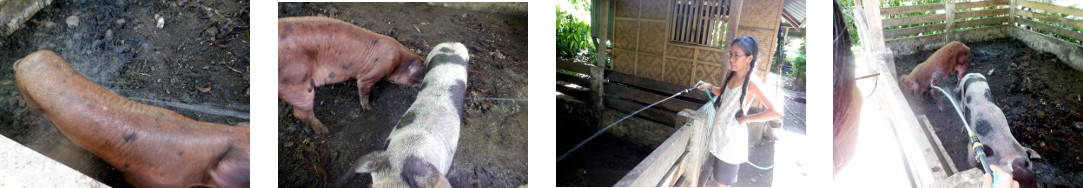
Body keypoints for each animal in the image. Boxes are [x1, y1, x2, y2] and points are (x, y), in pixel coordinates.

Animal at [277, 16, 424, 133]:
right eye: (419, 78)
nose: (422, 85)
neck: (398, 60)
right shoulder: (370, 75)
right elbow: (364, 89)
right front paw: (369, 108)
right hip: (297, 81)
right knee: (300, 113)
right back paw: (325, 131)